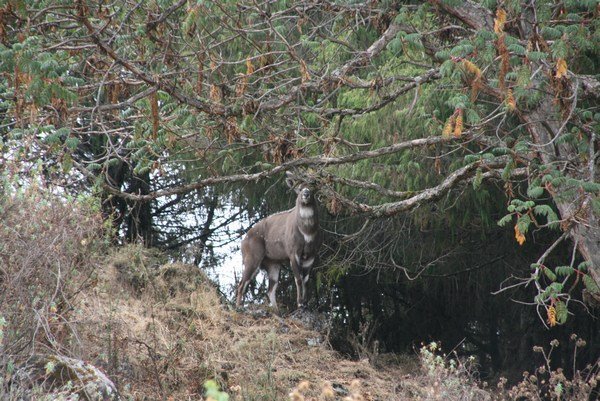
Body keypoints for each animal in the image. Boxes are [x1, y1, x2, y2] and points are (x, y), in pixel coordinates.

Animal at [234, 173, 322, 310]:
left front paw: (306, 304)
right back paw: (239, 307)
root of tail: (243, 242)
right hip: (252, 258)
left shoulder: (311, 255)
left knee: (270, 289)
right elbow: (298, 279)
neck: (307, 233)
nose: (306, 194)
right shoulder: (293, 253)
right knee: (242, 284)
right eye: (300, 188)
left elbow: (306, 280)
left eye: (312, 188)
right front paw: (300, 303)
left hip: (272, 263)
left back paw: (277, 311)